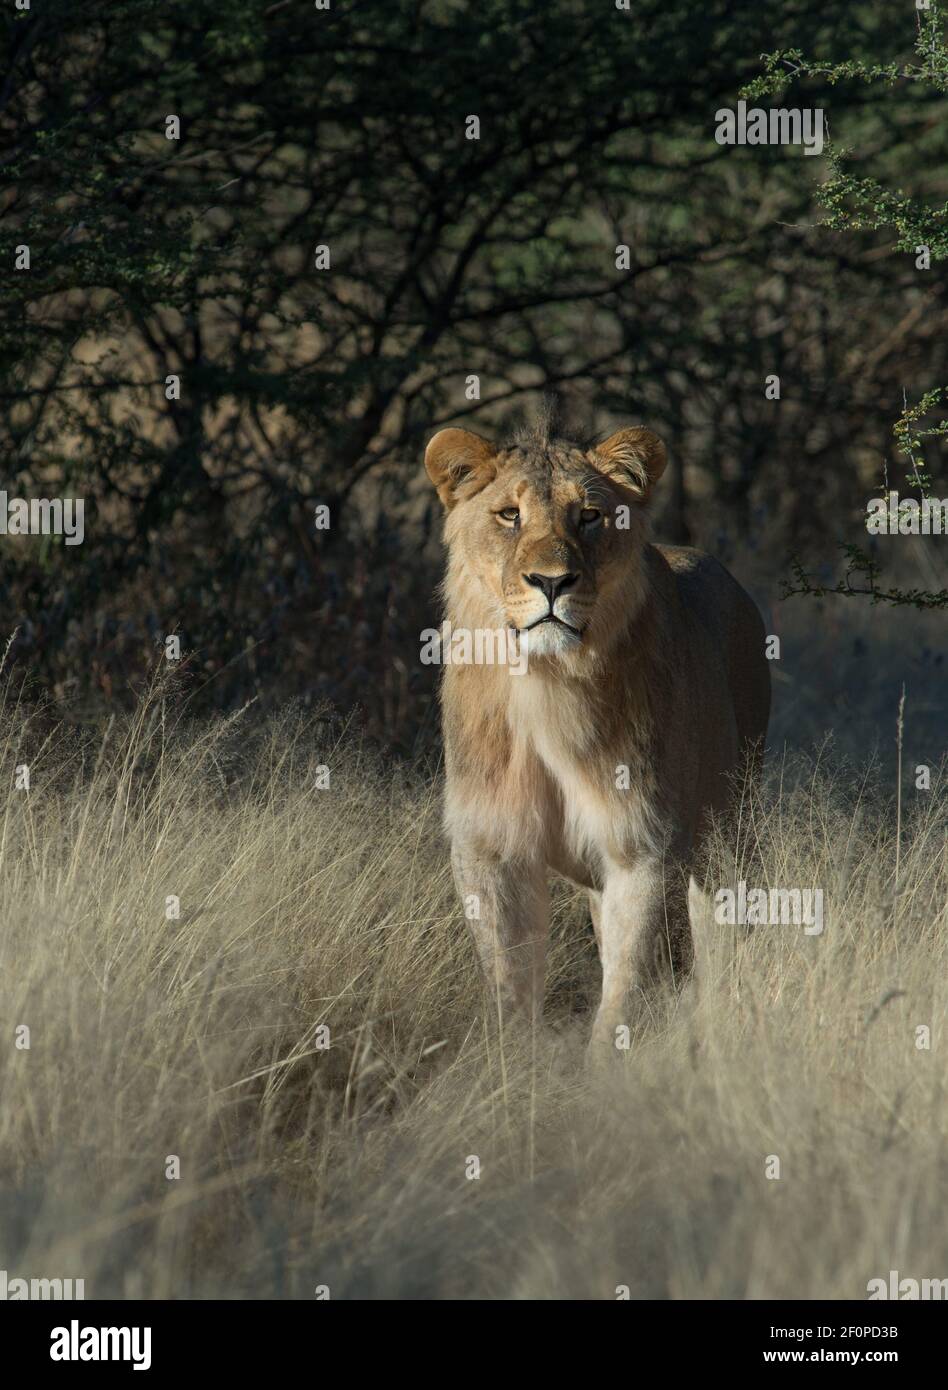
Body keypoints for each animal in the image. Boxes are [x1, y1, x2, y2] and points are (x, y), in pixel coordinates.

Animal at [424, 415, 770, 1048]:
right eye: (508, 515)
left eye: (589, 516)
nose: (551, 582)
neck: (546, 683)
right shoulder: (491, 849)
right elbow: (510, 985)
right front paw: (514, 1068)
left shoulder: (644, 848)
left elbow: (624, 997)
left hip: (730, 827)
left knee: (726, 935)